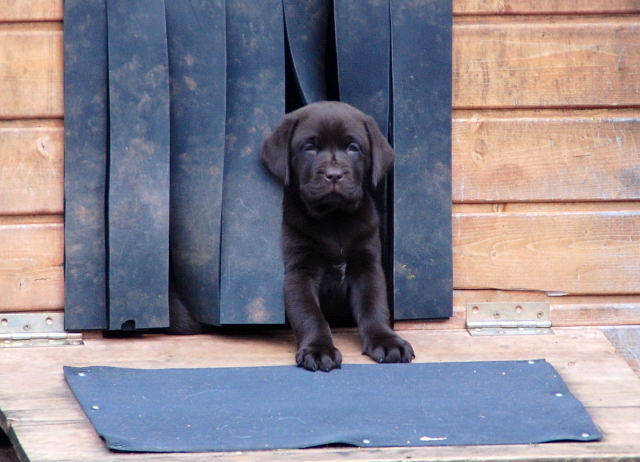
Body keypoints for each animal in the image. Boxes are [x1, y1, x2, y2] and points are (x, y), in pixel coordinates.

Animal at [261, 101, 414, 372]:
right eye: (309, 147)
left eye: (353, 147)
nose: (333, 174)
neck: (334, 219)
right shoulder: (299, 271)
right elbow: (309, 314)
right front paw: (318, 349)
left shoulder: (367, 266)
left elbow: (374, 307)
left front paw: (387, 341)